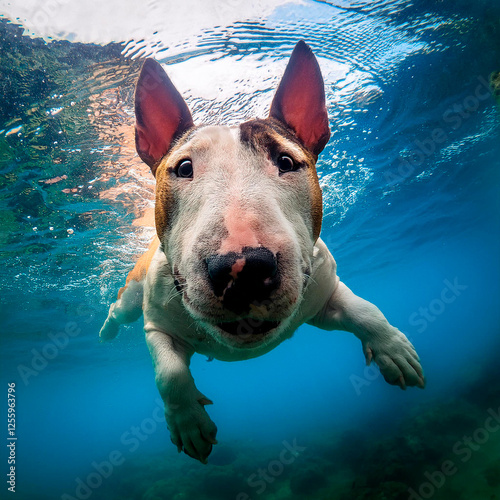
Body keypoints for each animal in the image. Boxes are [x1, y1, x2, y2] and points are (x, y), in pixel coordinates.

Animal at [98, 41, 426, 462]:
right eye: (183, 168)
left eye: (286, 161)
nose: (243, 268)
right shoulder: (157, 325)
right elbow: (169, 374)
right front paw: (189, 423)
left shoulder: (324, 294)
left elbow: (367, 312)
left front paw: (393, 349)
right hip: (133, 290)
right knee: (118, 310)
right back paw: (106, 331)